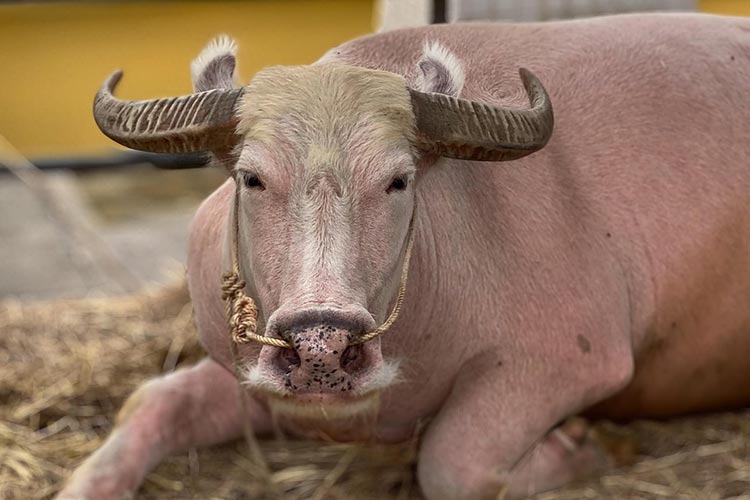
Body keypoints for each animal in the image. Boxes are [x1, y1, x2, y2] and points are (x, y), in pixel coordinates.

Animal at [57, 12, 750, 500]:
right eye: (252, 178)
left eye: (398, 181)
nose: (321, 347)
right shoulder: (257, 376)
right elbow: (155, 401)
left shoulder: (574, 361)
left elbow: (451, 462)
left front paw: (588, 445)